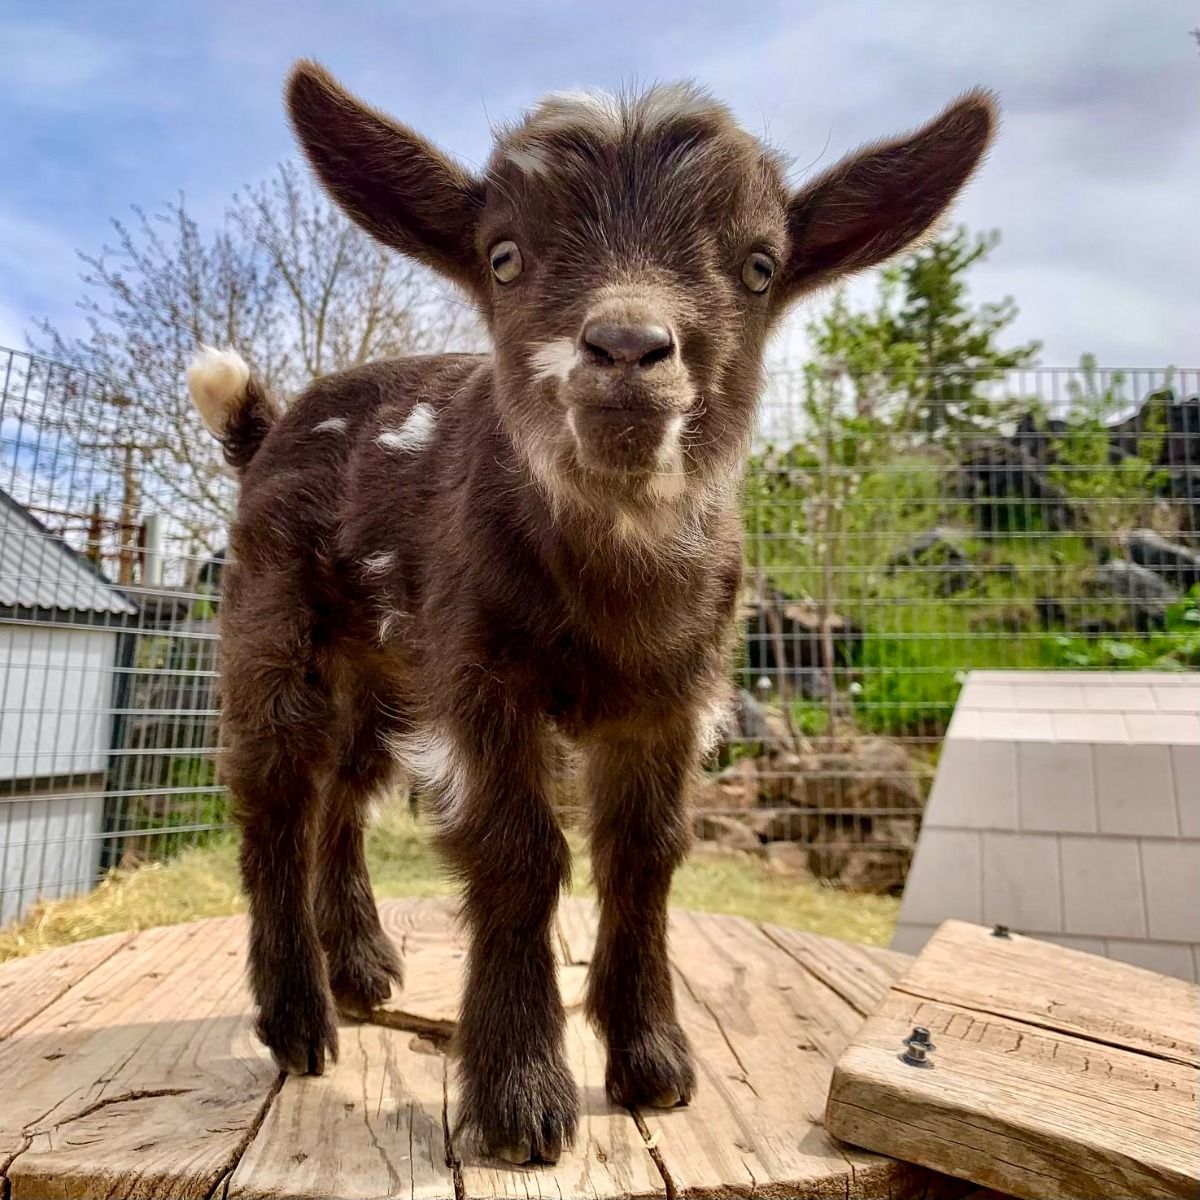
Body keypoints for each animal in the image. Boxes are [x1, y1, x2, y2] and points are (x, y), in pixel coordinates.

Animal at [187, 63, 993, 1161]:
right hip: (278, 627)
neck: (612, 580)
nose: (625, 348)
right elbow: (523, 852)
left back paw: (361, 966)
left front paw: (653, 1062)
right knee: (273, 794)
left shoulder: (672, 698)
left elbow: (645, 856)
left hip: (385, 666)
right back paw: (299, 1019)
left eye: (760, 265)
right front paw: (522, 1097)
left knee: (343, 792)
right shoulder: (485, 674)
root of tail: (269, 427)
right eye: (504, 255)